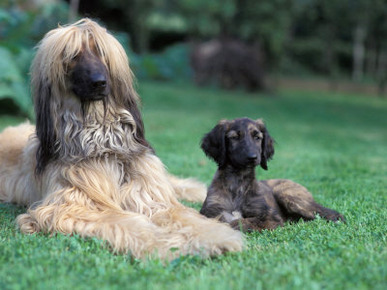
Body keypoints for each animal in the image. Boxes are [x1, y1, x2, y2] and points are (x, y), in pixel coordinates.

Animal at [200, 116, 346, 232]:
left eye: (257, 138)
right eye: (234, 137)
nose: (252, 157)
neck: (237, 182)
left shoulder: (271, 217)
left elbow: (242, 222)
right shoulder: (211, 211)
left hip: (287, 195)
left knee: (324, 212)